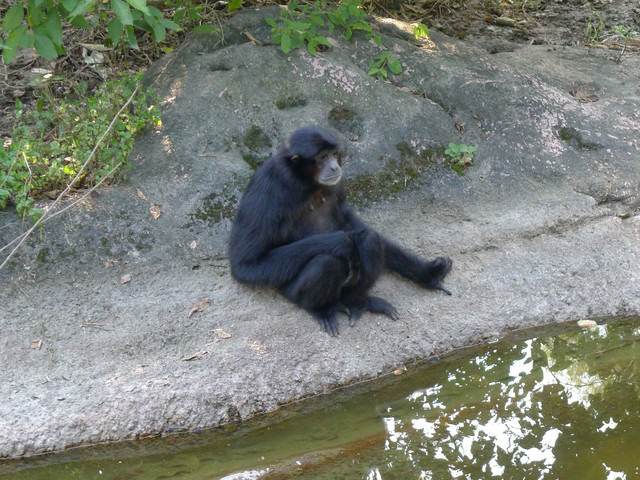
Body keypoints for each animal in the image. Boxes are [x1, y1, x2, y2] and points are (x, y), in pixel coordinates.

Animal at [230, 127, 450, 338]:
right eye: (322, 157)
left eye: (334, 154)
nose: (335, 166)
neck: (308, 185)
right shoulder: (267, 188)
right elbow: (247, 265)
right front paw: (344, 240)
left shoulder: (337, 184)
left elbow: (352, 223)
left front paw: (428, 274)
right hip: (290, 291)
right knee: (328, 261)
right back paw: (322, 308)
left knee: (371, 241)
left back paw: (358, 302)